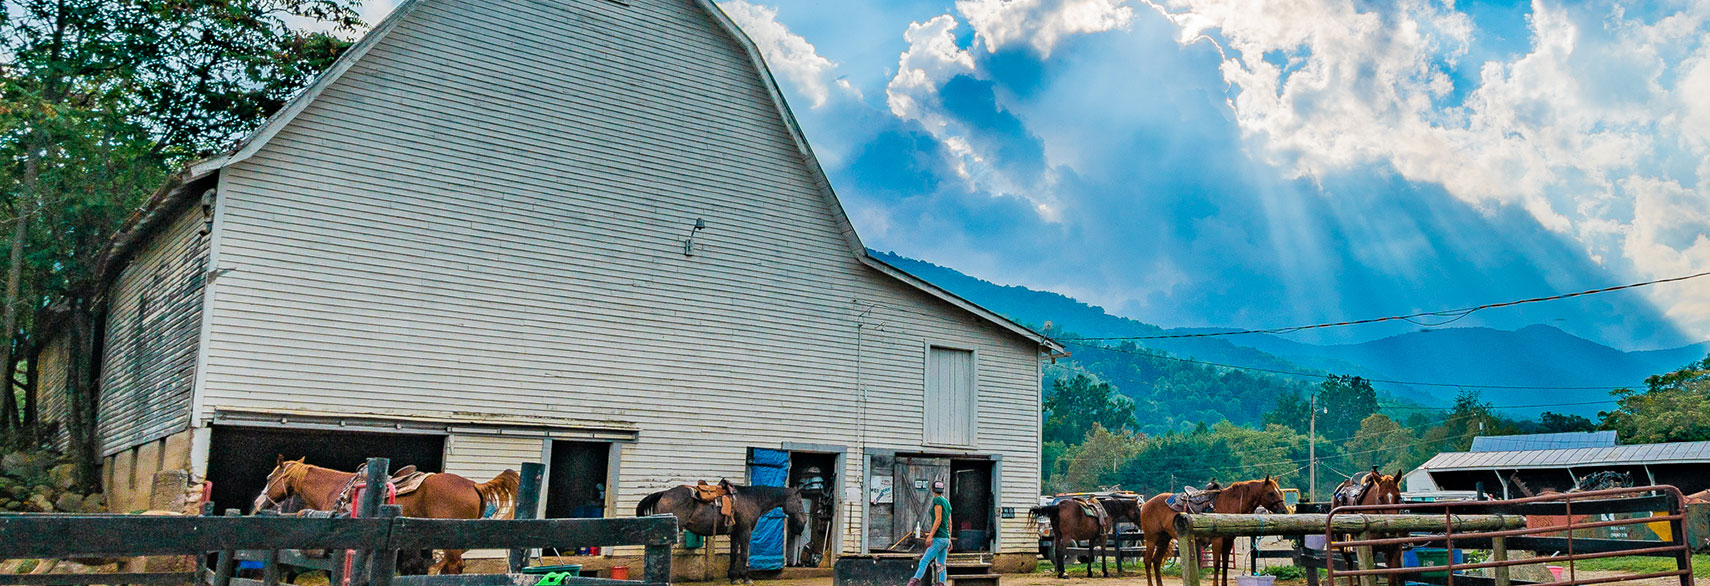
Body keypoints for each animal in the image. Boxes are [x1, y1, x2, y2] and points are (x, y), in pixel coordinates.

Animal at [636, 481, 807, 584]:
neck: (751, 500)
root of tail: (664, 494)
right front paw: (745, 578)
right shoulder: (745, 532)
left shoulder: (735, 533)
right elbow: (743, 555)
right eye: (799, 501)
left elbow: (733, 555)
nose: (804, 522)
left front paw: (733, 577)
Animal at [1142, 478, 1285, 586]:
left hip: (1164, 539)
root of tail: (1146, 504)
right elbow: (1217, 564)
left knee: (1156, 561)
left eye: (1280, 492)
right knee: (1148, 560)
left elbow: (1225, 564)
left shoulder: (1228, 541)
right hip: (1151, 539)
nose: (1283, 511)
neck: (1229, 504)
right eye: (1271, 493)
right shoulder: (1217, 540)